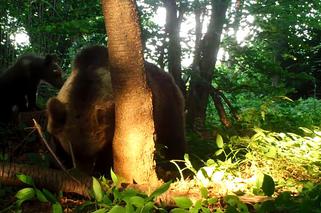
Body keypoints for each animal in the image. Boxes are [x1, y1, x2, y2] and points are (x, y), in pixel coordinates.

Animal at [45, 45, 185, 175]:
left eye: (93, 154)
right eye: (71, 152)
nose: (82, 172)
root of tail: (169, 76)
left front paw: (102, 171)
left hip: (168, 105)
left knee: (175, 137)